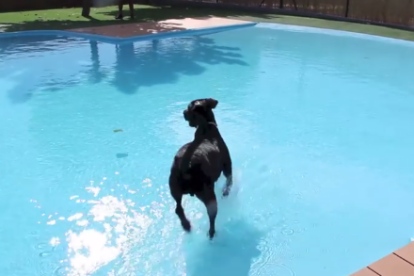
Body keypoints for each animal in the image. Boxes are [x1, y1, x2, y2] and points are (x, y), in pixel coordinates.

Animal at [168, 98, 233, 238]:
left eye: (187, 108)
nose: (183, 112)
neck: (207, 127)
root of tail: (185, 166)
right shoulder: (228, 169)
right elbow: (229, 182)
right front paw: (226, 192)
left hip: (174, 189)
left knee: (178, 208)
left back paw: (186, 225)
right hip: (209, 196)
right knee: (211, 216)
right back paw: (211, 233)